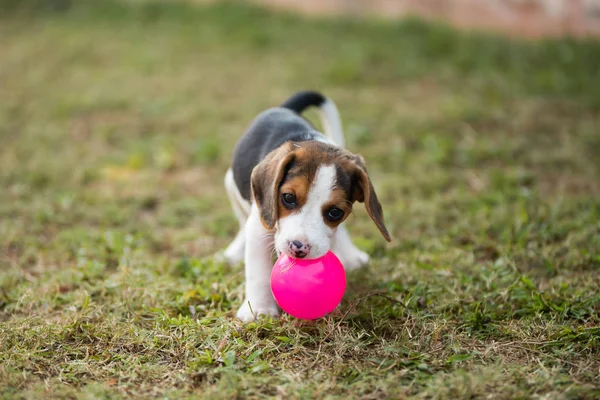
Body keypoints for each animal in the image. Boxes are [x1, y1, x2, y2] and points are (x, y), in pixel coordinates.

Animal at [223, 91, 392, 322]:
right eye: (288, 198)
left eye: (335, 212)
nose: (299, 247)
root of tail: (285, 108)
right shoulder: (259, 225)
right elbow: (258, 271)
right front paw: (258, 309)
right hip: (231, 184)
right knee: (242, 221)